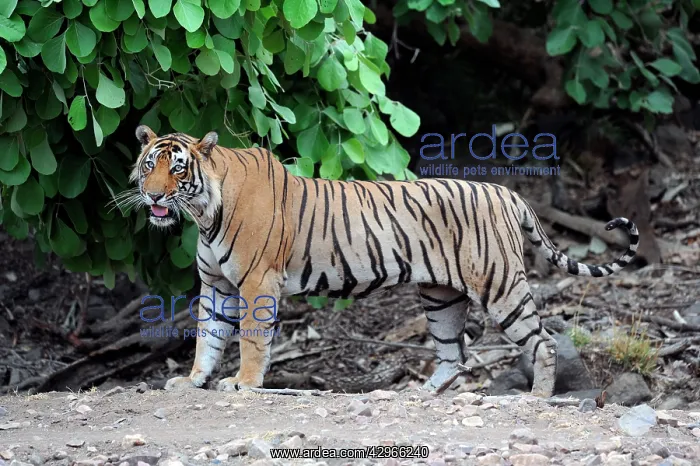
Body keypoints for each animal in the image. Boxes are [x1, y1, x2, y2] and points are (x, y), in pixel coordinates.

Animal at [127, 125, 639, 398]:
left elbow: (252, 340)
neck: (203, 213)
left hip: (501, 287)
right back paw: (419, 395)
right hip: (440, 297)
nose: (152, 196)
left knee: (544, 342)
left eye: (177, 168)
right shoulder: (217, 286)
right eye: (149, 164)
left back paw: (537, 397)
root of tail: (506, 192)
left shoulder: (257, 282)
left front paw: (244, 384)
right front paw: (192, 381)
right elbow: (207, 338)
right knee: (455, 355)